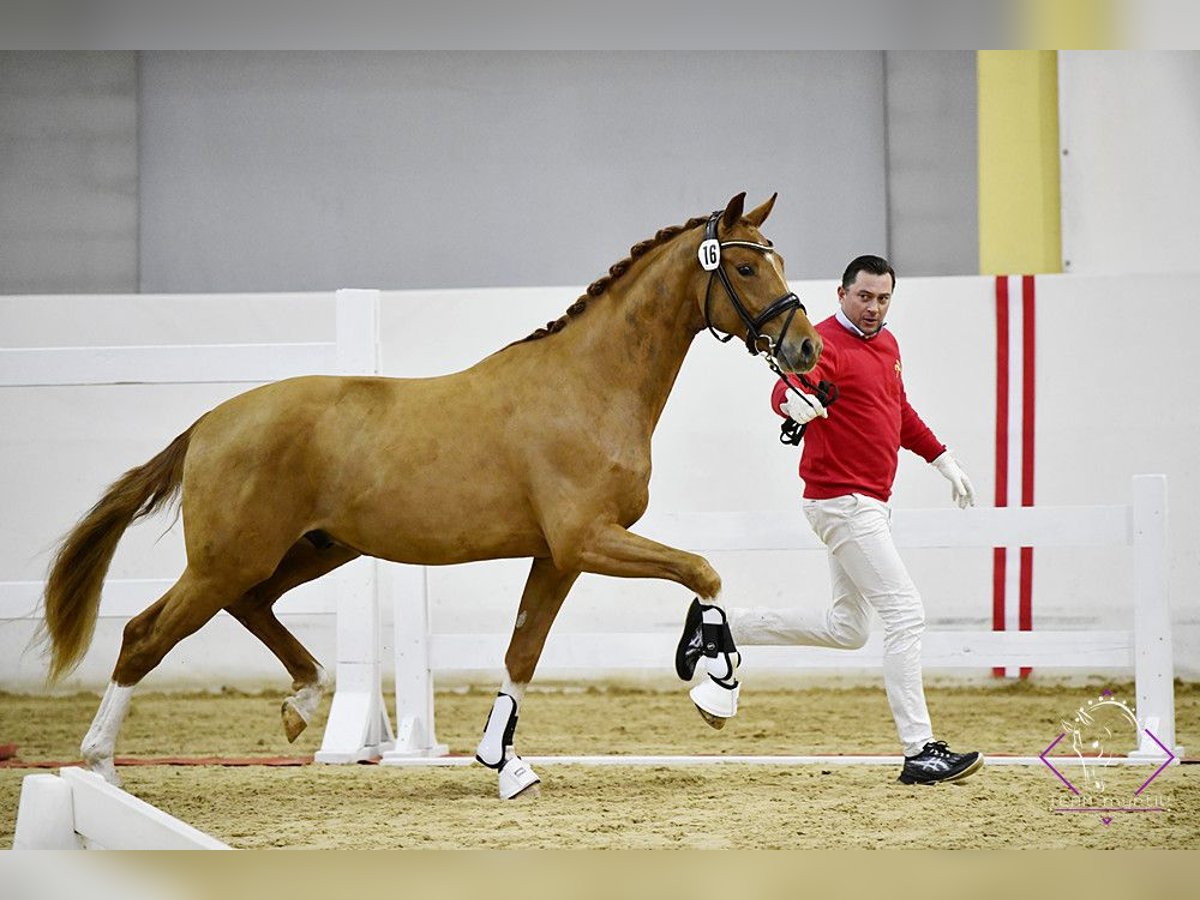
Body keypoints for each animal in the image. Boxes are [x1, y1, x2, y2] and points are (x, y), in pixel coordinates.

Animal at [42, 194, 820, 801]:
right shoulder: (588, 540)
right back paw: (100, 770)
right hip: (227, 560)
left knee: (251, 606)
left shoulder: (559, 556)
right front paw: (715, 689)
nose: (807, 350)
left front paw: (503, 764)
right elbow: (703, 571)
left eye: (778, 259)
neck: (588, 386)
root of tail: (210, 422)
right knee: (144, 635)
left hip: (310, 551)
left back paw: (300, 702)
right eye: (746, 266)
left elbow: (522, 653)